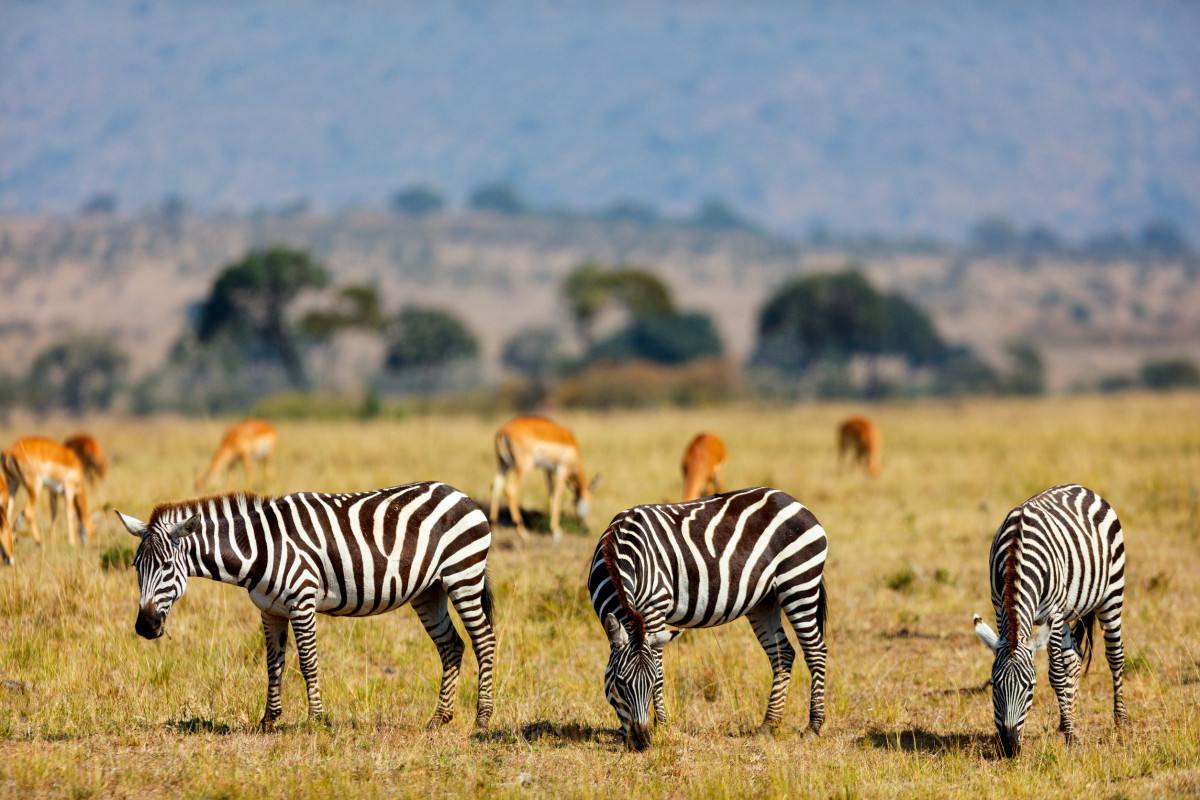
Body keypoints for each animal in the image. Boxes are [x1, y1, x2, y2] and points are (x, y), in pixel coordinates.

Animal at [115, 482, 496, 734]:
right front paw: (269, 721)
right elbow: (274, 666)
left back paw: (482, 719)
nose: (145, 627)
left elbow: (308, 663)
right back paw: (438, 719)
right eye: (136, 567)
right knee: (452, 646)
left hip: (463, 575)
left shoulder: (302, 602)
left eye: (167, 566)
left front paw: (317, 721)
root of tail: (461, 494)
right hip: (430, 591)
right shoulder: (270, 611)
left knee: (484, 641)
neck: (259, 547)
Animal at [588, 489, 830, 753]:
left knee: (815, 650)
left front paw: (662, 726)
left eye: (649, 685)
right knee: (782, 653)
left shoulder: (655, 608)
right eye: (620, 683)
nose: (641, 742)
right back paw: (768, 725)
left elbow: (659, 671)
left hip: (799, 582)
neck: (620, 548)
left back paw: (814, 726)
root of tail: (793, 501)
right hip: (765, 600)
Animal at [969, 482, 1128, 758]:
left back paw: (1118, 724)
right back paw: (1066, 720)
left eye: (1030, 687)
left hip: (1111, 593)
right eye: (995, 687)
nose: (1010, 747)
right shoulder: (1000, 607)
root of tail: (1083, 488)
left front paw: (1071, 737)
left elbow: (1056, 674)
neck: (1015, 552)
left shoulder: (1053, 611)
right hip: (1066, 611)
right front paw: (1068, 727)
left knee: (1115, 657)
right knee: (1073, 659)